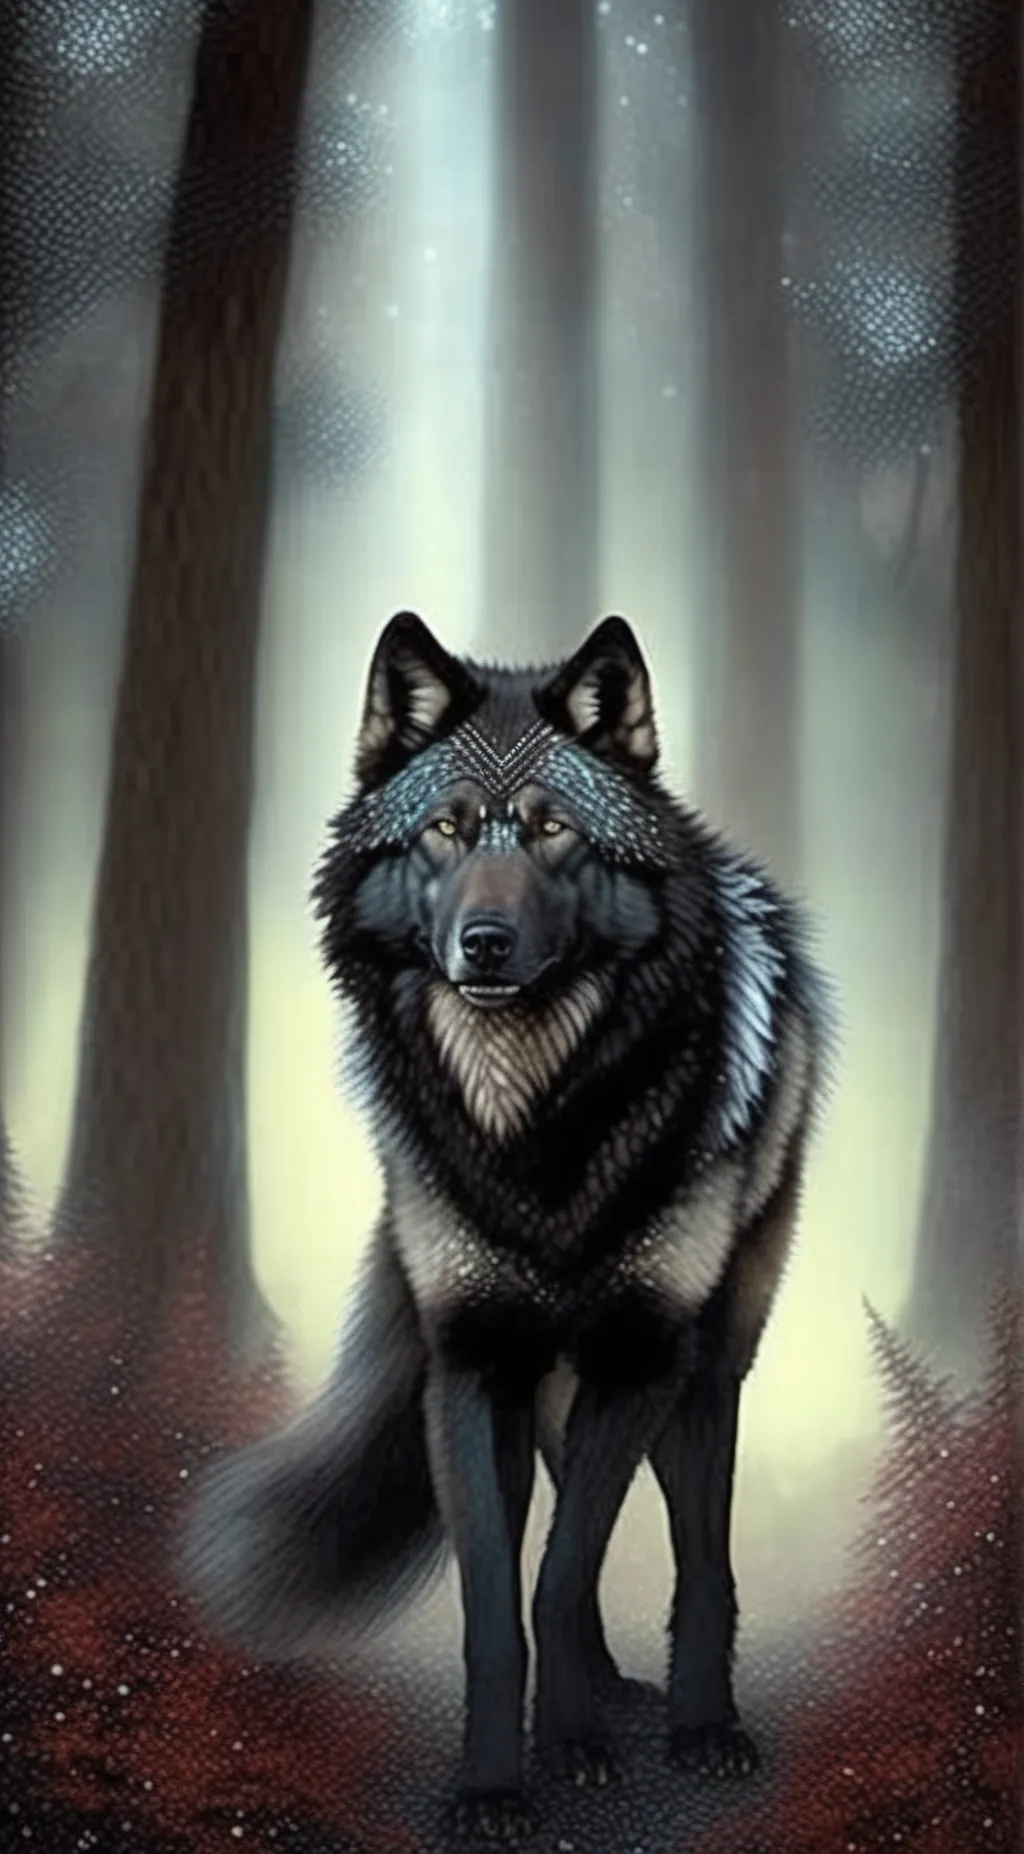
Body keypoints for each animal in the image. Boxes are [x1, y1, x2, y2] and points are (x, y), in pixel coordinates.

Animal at [182, 611, 835, 1843]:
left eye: (553, 832)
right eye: (444, 827)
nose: (482, 943)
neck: (533, 1134)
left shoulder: (641, 1355)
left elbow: (566, 1570)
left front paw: (576, 1746)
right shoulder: (473, 1367)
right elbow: (502, 1597)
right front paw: (495, 1781)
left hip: (706, 1365)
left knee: (697, 1544)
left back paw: (698, 1720)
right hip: (538, 1396)